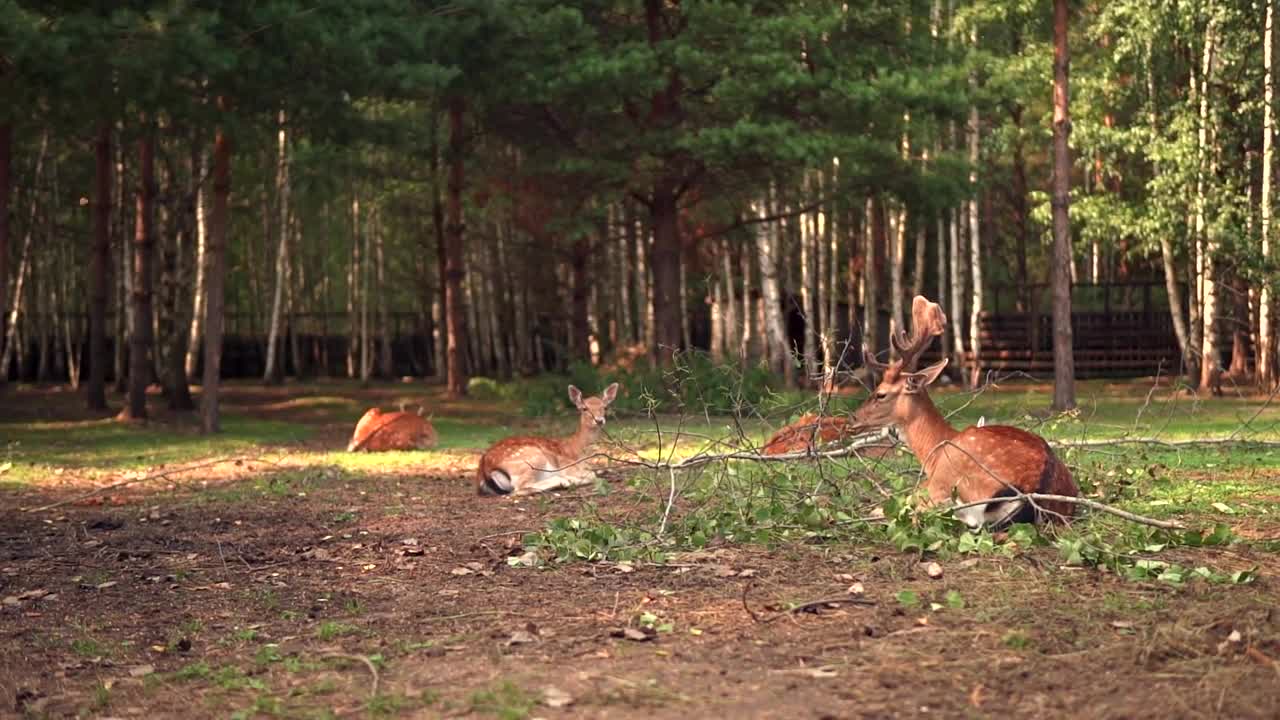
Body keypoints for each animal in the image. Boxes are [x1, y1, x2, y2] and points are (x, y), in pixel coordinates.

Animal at [478, 381, 622, 491]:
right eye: (584, 408)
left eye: (605, 407)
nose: (599, 420)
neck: (580, 451)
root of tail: (485, 470)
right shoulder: (567, 465)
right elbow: (592, 475)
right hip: (533, 457)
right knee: (520, 488)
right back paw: (565, 481)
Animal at [860, 294, 1080, 525]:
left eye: (881, 394)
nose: (855, 419)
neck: (933, 452)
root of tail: (1034, 492)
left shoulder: (929, 484)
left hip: (957, 484)